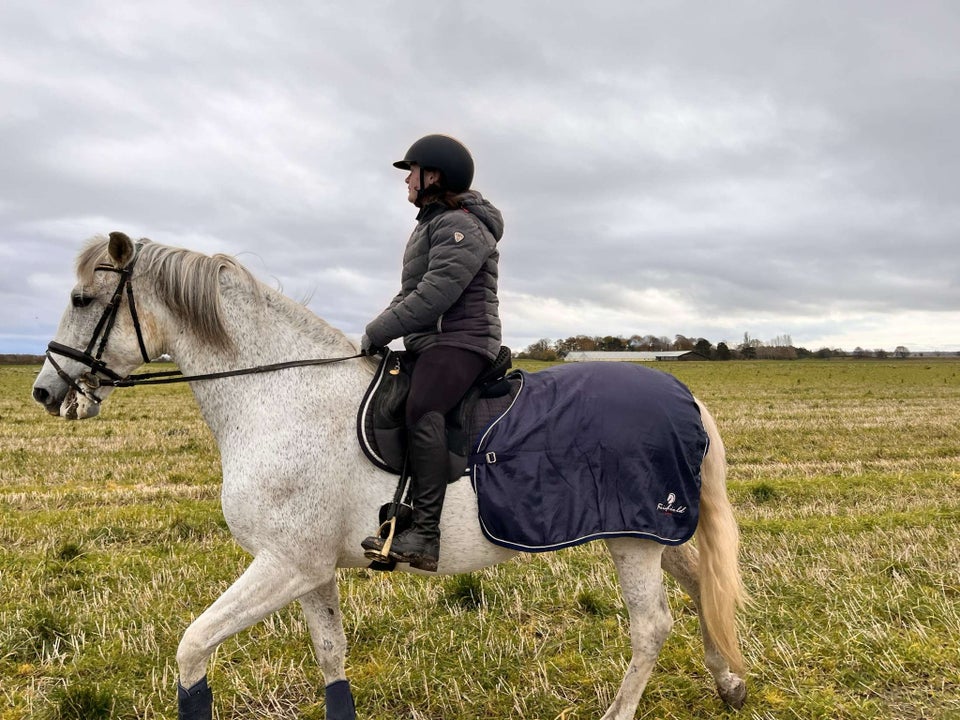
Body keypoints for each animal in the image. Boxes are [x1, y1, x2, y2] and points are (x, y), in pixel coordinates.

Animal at [31, 233, 752, 716]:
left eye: (81, 297)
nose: (45, 392)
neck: (280, 393)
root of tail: (682, 393)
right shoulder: (310, 568)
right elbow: (330, 654)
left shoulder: (283, 563)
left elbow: (192, 648)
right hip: (652, 533)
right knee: (698, 588)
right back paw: (730, 683)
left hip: (633, 540)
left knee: (652, 626)